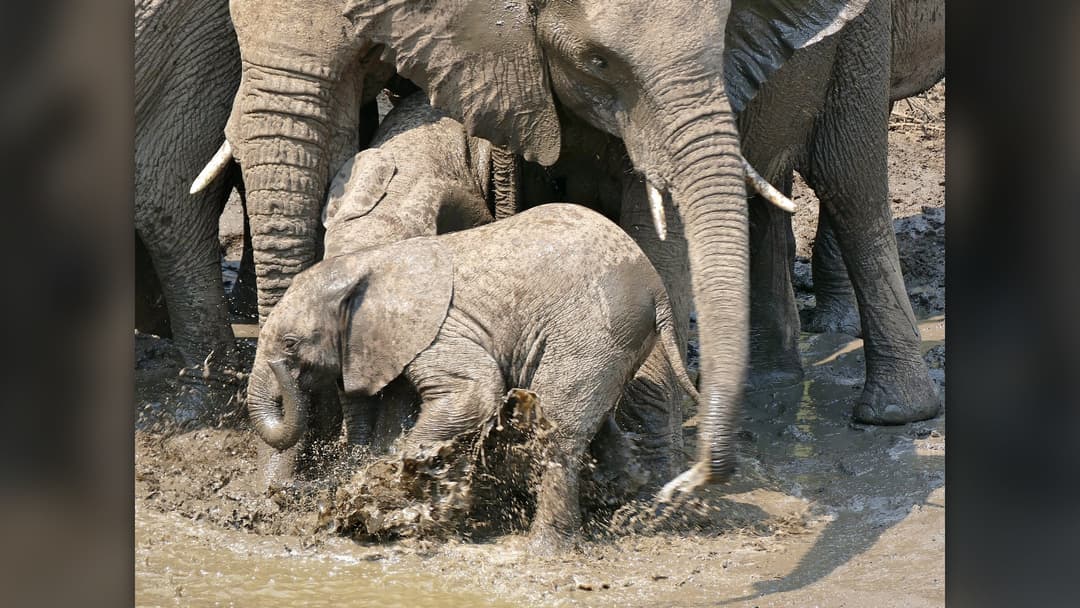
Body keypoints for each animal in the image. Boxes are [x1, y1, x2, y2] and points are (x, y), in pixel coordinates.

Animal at [246, 203, 698, 548]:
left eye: (290, 343)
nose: (282, 372)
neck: (369, 262)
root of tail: (656, 287)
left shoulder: (440, 331)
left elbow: (474, 394)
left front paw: (390, 484)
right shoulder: (396, 345)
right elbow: (400, 411)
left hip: (593, 328)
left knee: (559, 431)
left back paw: (543, 548)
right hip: (614, 341)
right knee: (593, 418)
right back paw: (621, 495)